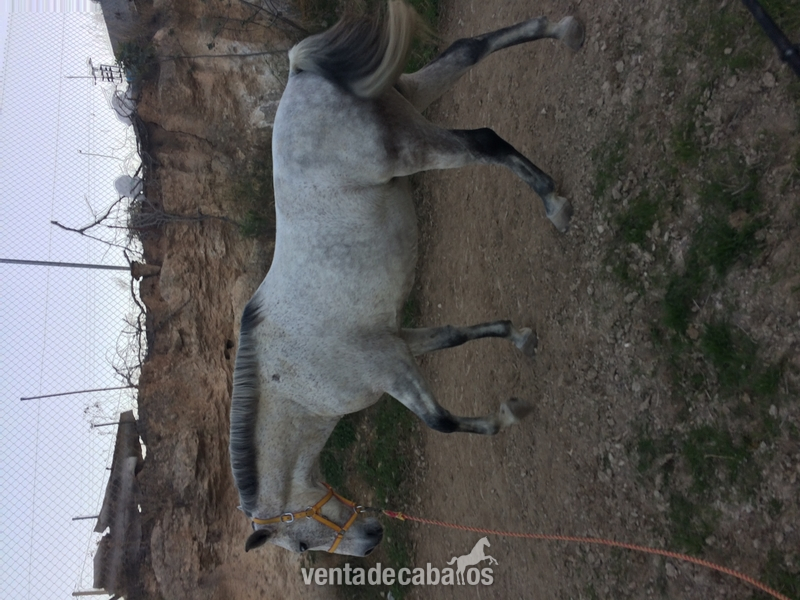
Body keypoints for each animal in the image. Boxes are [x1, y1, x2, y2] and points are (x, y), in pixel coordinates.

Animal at [229, 0, 584, 557]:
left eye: (302, 547)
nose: (371, 540)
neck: (295, 378)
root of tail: (299, 71)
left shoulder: (392, 368)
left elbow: (441, 421)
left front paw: (507, 415)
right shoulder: (402, 341)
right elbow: (456, 335)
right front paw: (518, 335)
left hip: (412, 146)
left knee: (482, 142)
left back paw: (554, 203)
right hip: (410, 96)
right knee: (469, 50)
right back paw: (563, 30)